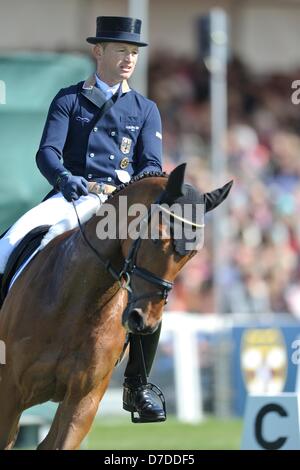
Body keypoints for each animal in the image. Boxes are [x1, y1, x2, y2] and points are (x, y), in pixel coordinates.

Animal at [0, 163, 232, 450]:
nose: (144, 320)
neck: (78, 302)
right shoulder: (9, 393)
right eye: (157, 238)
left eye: (192, 254)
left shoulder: (82, 401)